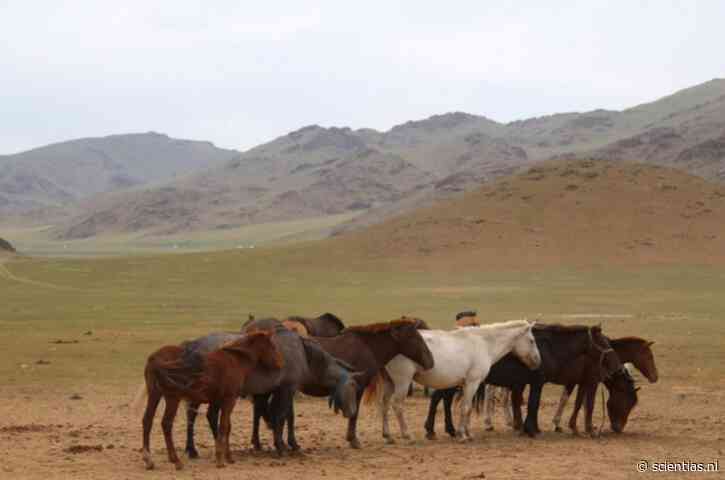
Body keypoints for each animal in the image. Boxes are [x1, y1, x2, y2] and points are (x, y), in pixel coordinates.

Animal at [139, 332, 282, 470]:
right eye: (272, 346)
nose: (280, 363)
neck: (234, 360)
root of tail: (155, 358)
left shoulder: (217, 401)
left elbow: (223, 426)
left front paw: (227, 456)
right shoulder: (229, 400)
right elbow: (224, 427)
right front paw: (220, 460)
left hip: (155, 395)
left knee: (147, 420)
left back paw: (148, 460)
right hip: (172, 398)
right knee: (166, 424)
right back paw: (176, 461)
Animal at [370, 320, 540, 440]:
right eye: (532, 340)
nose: (538, 361)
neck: (483, 343)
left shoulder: (466, 384)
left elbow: (467, 409)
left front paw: (466, 432)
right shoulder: (472, 382)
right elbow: (465, 408)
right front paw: (463, 435)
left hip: (390, 383)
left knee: (384, 405)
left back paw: (387, 435)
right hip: (402, 383)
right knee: (397, 406)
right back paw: (407, 434)